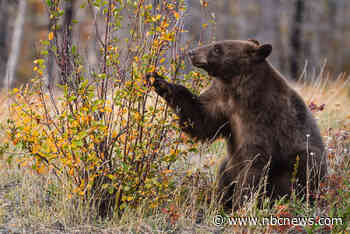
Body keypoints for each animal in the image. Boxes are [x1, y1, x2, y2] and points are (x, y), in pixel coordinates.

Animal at [146, 39, 326, 209]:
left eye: (217, 48)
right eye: (215, 44)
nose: (192, 53)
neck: (237, 89)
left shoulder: (263, 117)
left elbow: (254, 161)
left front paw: (242, 202)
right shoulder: (222, 104)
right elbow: (200, 119)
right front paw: (158, 80)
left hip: (300, 161)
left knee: (300, 170)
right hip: (229, 164)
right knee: (223, 170)